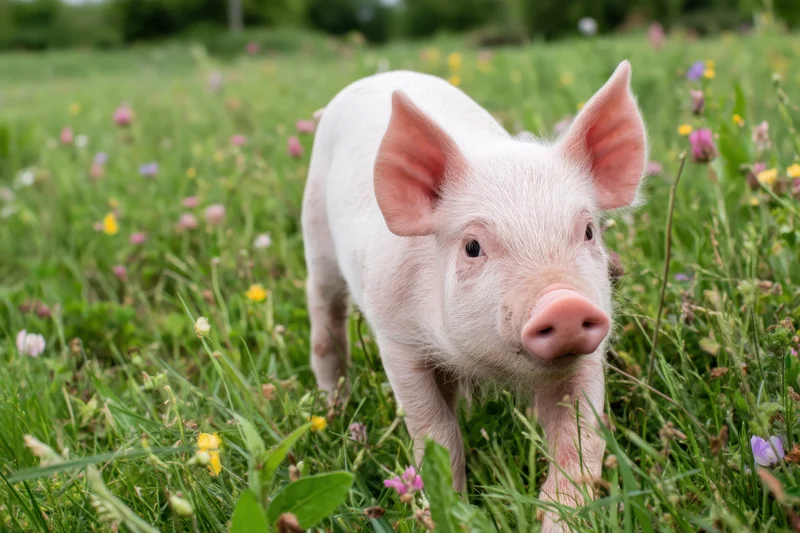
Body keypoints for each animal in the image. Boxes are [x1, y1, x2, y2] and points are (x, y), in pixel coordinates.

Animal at [301, 61, 647, 530]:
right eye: (472, 246)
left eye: (589, 231)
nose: (564, 302)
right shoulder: (397, 340)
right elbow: (435, 433)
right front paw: (444, 513)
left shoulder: (588, 357)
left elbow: (580, 444)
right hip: (315, 231)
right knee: (325, 318)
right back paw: (334, 406)